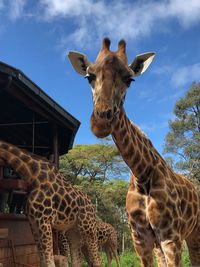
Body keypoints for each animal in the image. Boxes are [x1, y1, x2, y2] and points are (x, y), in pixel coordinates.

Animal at [68, 38, 200, 267]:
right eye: (89, 77)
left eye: (129, 79)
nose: (101, 121)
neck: (141, 174)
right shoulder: (141, 239)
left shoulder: (170, 236)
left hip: (194, 233)